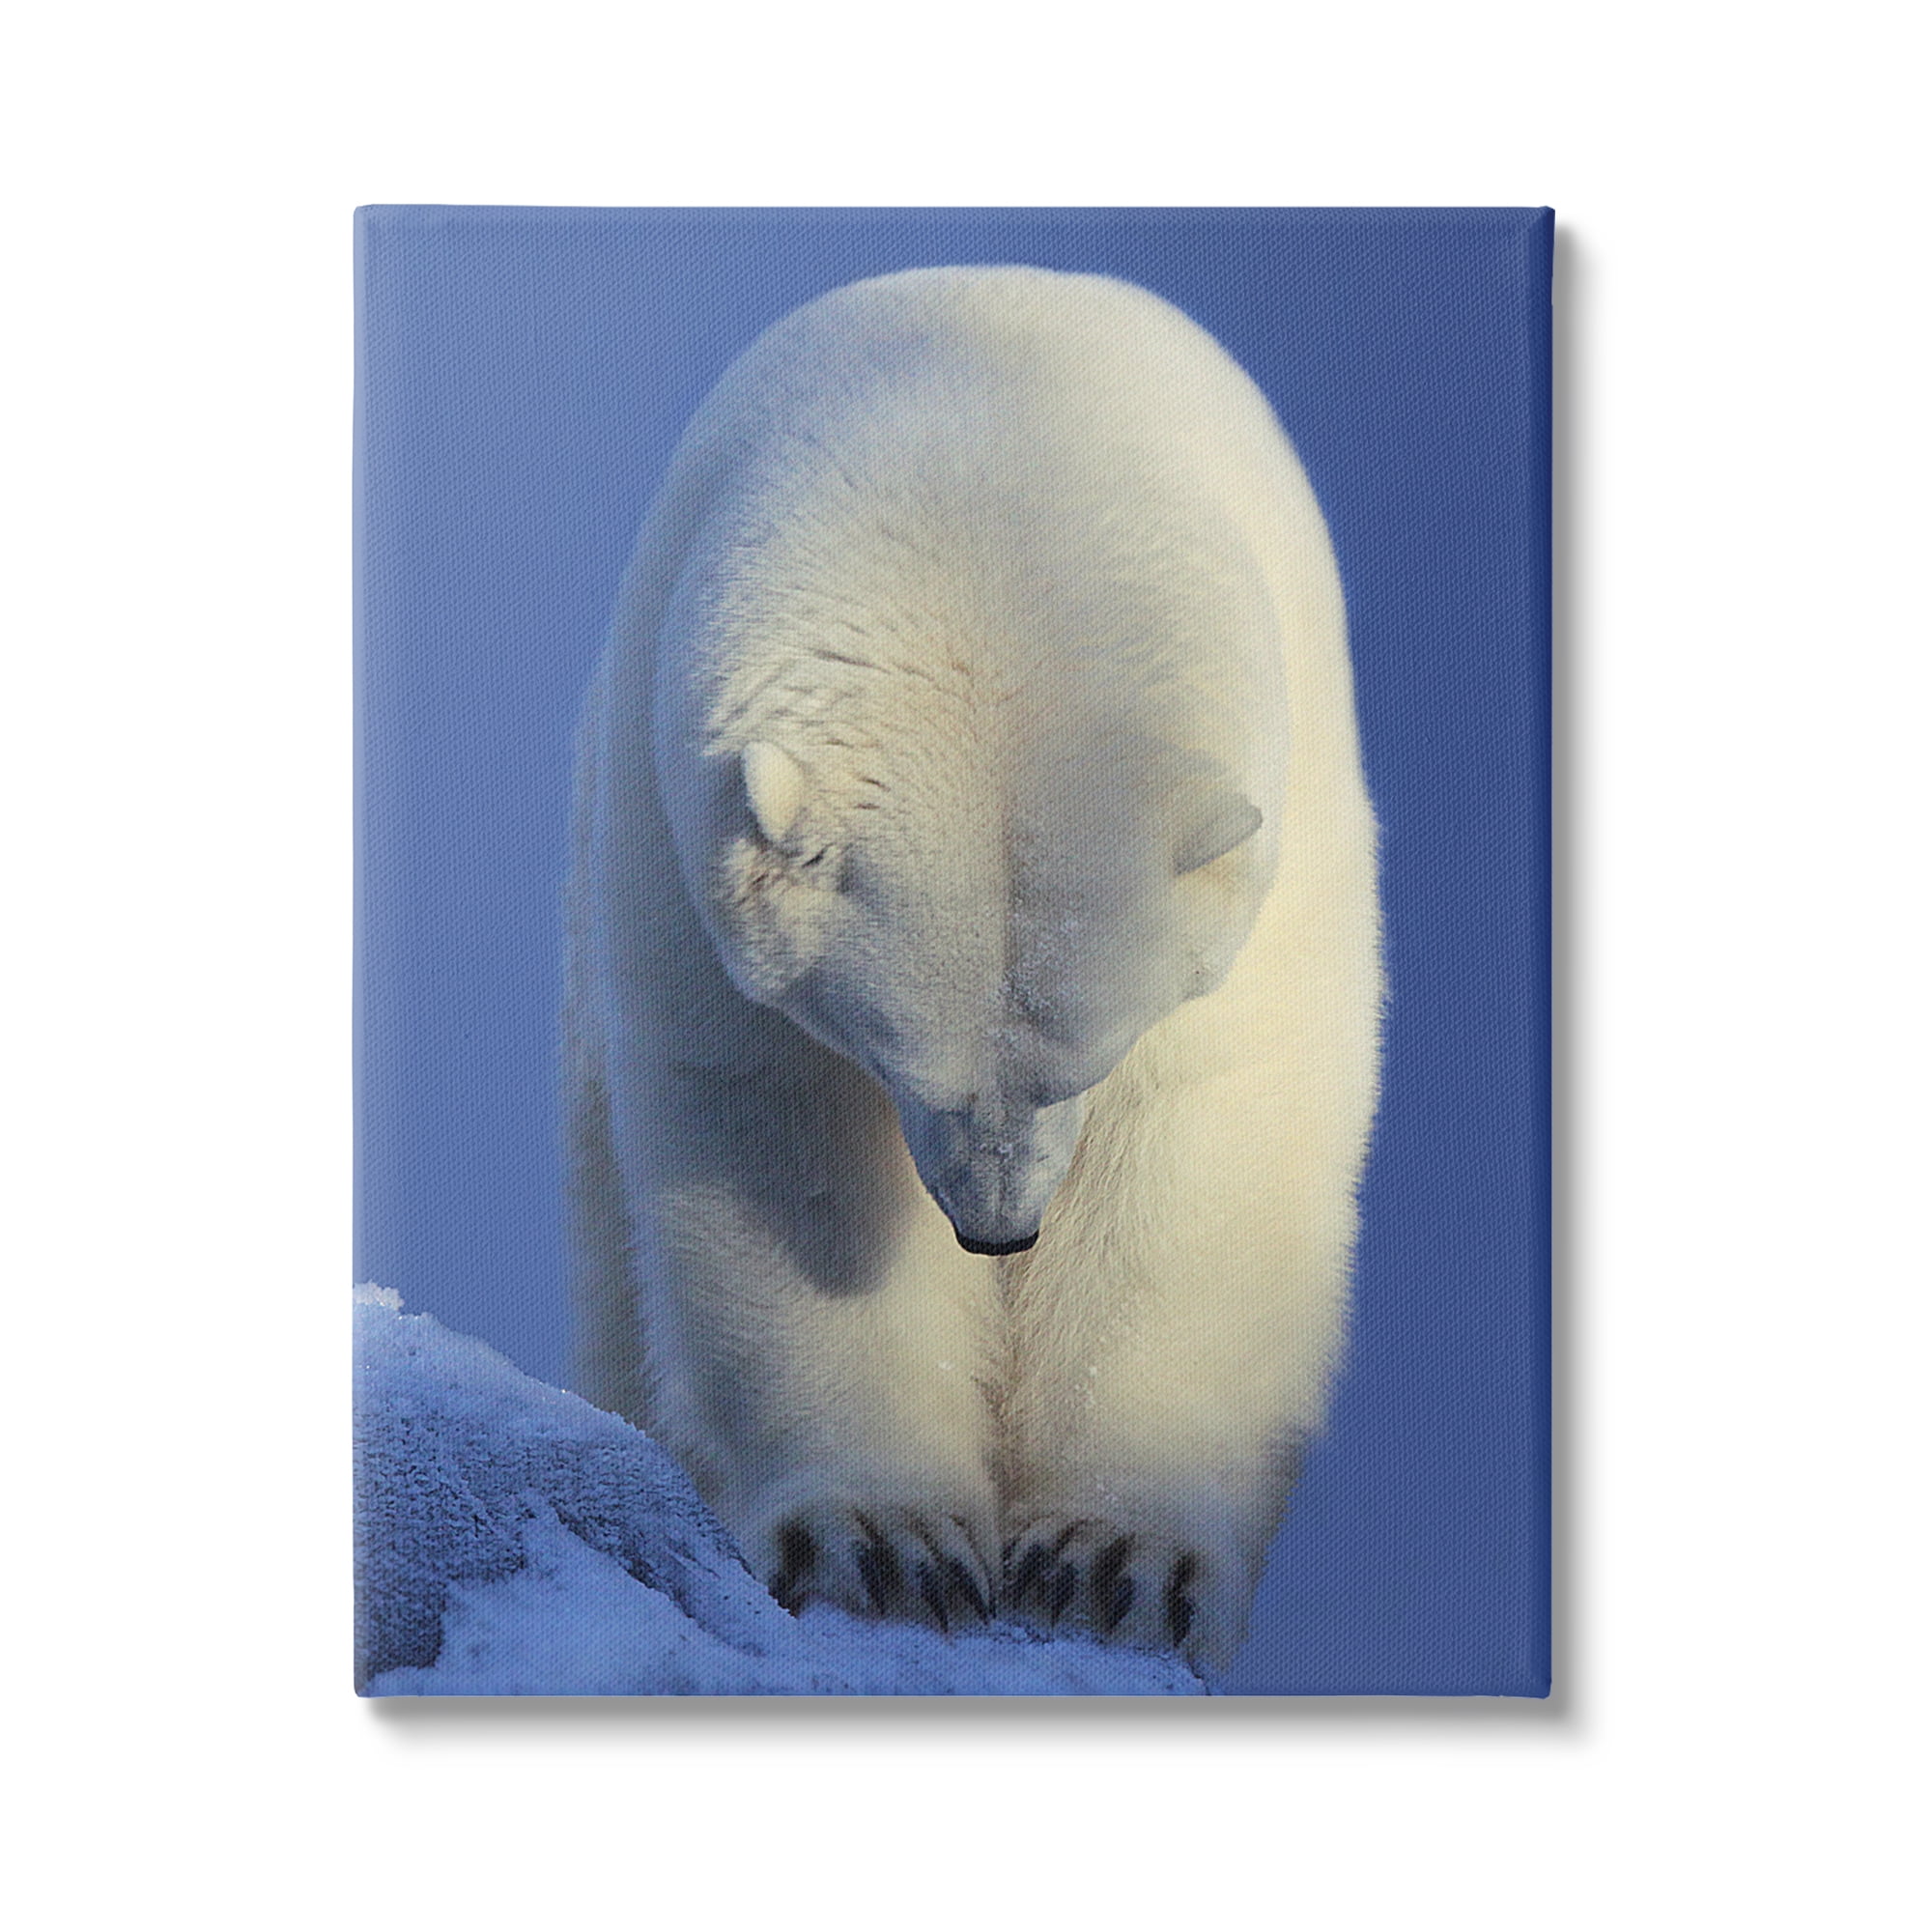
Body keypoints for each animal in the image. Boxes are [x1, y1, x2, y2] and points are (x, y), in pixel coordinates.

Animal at [564, 266, 1382, 1671]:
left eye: (1085, 1060)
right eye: (898, 1056)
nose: (999, 1230)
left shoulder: (1281, 842)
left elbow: (1210, 1137)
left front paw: (1116, 1565)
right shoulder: (675, 849)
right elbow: (782, 1147)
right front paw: (885, 1548)